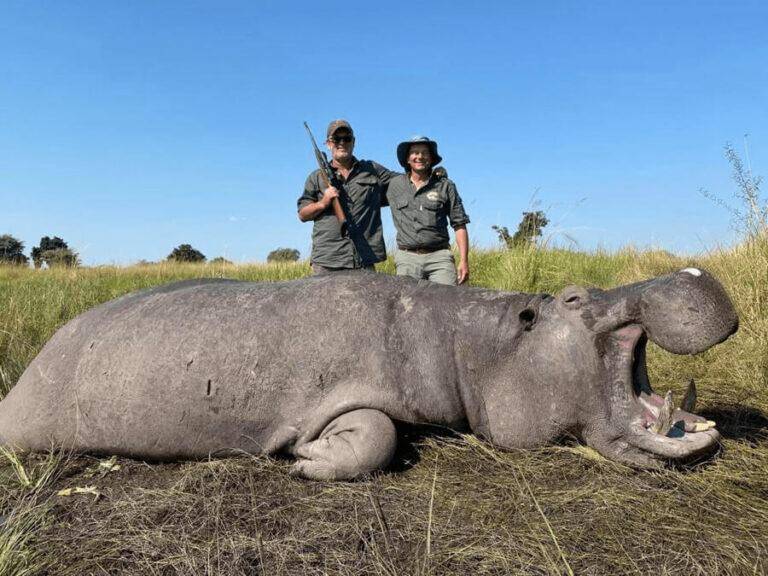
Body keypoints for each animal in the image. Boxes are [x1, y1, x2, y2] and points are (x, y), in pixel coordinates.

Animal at [0, 268, 738, 480]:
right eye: (576, 297)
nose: (691, 271)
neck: (475, 342)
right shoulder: (336, 397)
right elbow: (378, 436)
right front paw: (304, 460)